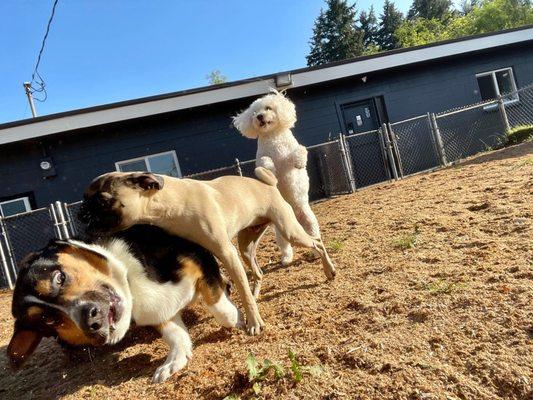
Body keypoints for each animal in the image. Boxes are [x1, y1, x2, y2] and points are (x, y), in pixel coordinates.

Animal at [7, 223, 241, 382]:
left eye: (59, 278)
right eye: (49, 320)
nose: (91, 322)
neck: (130, 280)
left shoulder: (199, 258)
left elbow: (220, 308)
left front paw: (238, 320)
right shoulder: (160, 314)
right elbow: (174, 334)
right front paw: (174, 361)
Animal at [78, 167, 336, 336]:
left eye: (102, 201)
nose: (82, 213)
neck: (171, 202)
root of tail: (267, 184)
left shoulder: (226, 253)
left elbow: (239, 291)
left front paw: (253, 322)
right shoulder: (208, 254)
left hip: (288, 231)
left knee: (317, 242)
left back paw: (329, 271)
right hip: (245, 246)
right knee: (258, 272)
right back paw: (256, 293)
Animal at [234, 90, 320, 266]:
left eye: (268, 108)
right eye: (254, 113)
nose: (260, 116)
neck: (273, 136)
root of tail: (294, 214)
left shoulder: (291, 153)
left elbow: (299, 151)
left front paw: (299, 162)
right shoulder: (261, 158)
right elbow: (265, 161)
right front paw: (271, 169)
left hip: (308, 220)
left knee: (313, 235)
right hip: (281, 231)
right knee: (285, 245)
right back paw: (286, 259)